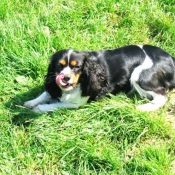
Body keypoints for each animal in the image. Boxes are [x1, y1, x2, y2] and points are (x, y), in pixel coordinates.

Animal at [23, 44, 175, 113]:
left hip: (139, 75)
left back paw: (144, 107)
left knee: (162, 96)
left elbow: (57, 104)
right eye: (59, 66)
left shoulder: (77, 103)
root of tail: (171, 58)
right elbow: (46, 93)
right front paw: (31, 102)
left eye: (77, 67)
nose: (65, 78)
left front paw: (39, 108)